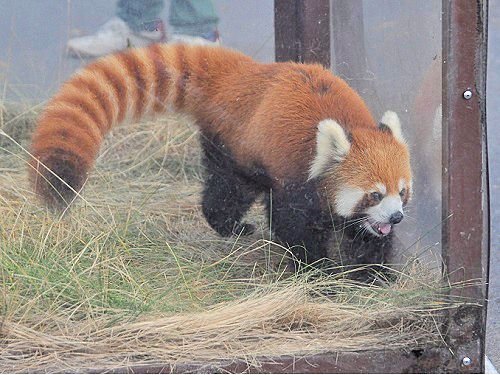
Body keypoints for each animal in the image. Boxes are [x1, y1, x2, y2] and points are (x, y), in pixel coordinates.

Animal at [31, 44, 412, 280]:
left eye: (402, 192)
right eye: (374, 194)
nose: (396, 216)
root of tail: (243, 73)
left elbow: (365, 236)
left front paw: (373, 274)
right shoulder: (297, 177)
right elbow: (297, 228)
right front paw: (317, 271)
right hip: (235, 145)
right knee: (227, 190)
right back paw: (231, 226)